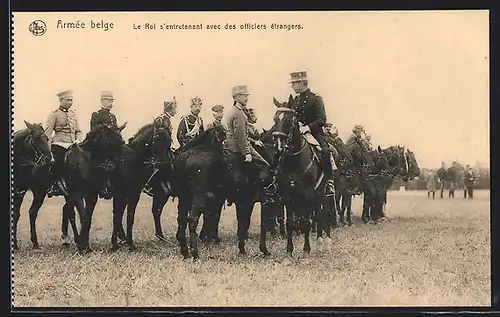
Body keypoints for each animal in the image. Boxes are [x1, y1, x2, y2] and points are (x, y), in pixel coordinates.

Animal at [12, 121, 53, 249]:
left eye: (46, 138)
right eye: (35, 139)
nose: (49, 160)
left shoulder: (21, 191)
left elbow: (16, 215)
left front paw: (15, 243)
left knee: (32, 212)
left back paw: (35, 242)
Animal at [63, 123, 127, 252]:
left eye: (120, 136)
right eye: (108, 136)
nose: (118, 162)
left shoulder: (92, 196)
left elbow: (89, 218)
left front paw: (85, 245)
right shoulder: (78, 195)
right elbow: (84, 218)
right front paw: (83, 246)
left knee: (68, 211)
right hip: (70, 196)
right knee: (70, 214)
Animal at [107, 119, 174, 251]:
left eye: (170, 140)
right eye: (156, 138)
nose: (163, 164)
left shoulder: (131, 195)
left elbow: (125, 216)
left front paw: (125, 242)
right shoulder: (125, 195)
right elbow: (122, 216)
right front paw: (121, 243)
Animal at [172, 124, 227, 260]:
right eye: (222, 137)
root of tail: (186, 159)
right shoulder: (215, 198)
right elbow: (212, 217)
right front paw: (209, 240)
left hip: (184, 197)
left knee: (182, 219)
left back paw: (185, 251)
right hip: (198, 198)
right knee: (192, 219)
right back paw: (195, 253)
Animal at [272, 95, 334, 256]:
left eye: (289, 119)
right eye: (275, 119)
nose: (279, 147)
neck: (295, 159)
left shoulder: (307, 194)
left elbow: (306, 222)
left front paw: (306, 248)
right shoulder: (288, 195)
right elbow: (290, 223)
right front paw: (289, 249)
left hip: (323, 193)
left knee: (325, 213)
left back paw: (326, 243)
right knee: (319, 213)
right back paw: (319, 242)